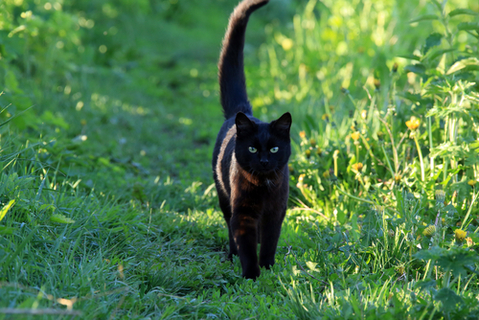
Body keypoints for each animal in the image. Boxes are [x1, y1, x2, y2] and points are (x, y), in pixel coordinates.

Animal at [214, 0, 292, 280]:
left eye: (274, 148)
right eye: (252, 148)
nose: (264, 161)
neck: (263, 187)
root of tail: (242, 111)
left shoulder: (276, 212)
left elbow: (269, 241)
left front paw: (267, 267)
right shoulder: (243, 213)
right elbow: (245, 242)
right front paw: (251, 274)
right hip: (223, 195)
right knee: (229, 226)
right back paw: (231, 255)